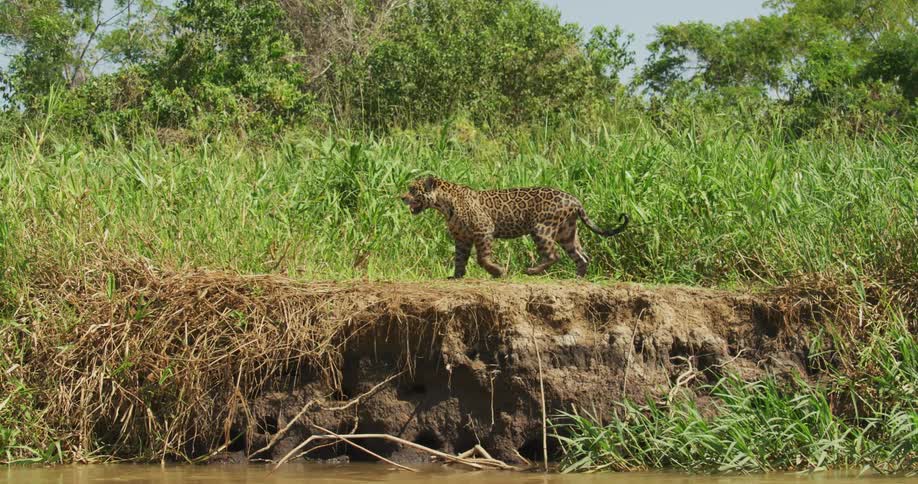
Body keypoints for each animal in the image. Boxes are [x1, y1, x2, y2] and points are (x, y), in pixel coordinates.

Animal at [400, 175, 628, 279]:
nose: (401, 197)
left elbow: (482, 258)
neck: (443, 204)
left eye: (413, 189)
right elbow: (459, 258)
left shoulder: (483, 230)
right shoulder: (461, 238)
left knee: (553, 255)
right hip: (567, 232)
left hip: (541, 228)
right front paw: (456, 276)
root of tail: (574, 199)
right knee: (581, 256)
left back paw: (531, 270)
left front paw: (498, 271)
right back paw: (578, 278)